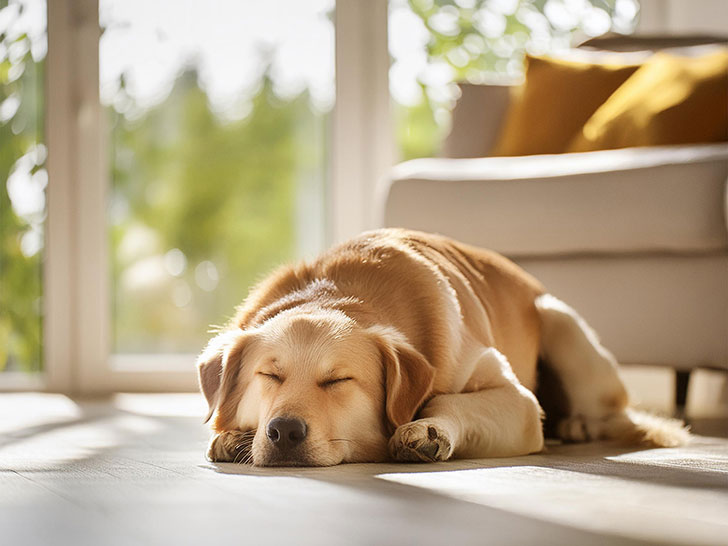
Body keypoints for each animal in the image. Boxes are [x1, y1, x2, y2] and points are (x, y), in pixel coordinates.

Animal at [196, 226, 684, 464]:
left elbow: (447, 401)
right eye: (269, 375)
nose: (284, 431)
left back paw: (577, 424)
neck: (335, 292)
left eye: (339, 381)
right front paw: (233, 436)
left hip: (560, 323)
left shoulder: (520, 405)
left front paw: (428, 429)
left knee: (614, 415)